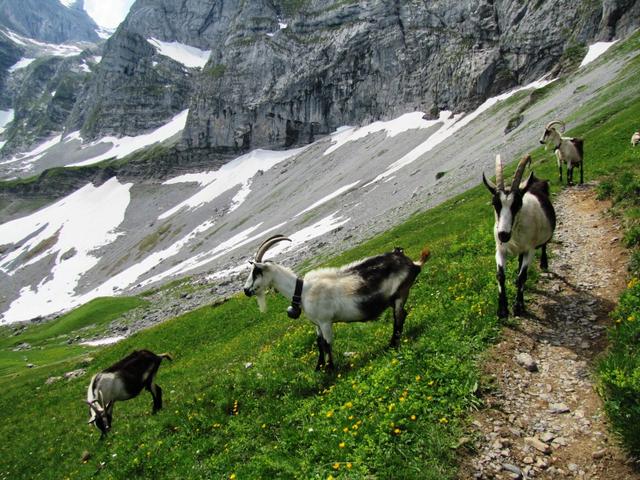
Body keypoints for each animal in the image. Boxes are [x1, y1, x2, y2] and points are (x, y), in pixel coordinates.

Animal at [244, 236, 430, 372]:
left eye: (256, 271)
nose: (246, 290)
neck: (302, 291)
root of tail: (412, 263)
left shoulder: (326, 321)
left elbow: (327, 343)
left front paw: (331, 369)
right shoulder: (317, 324)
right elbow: (319, 343)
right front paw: (318, 367)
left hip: (400, 294)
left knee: (398, 317)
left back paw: (392, 344)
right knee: (402, 315)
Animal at [480, 154, 556, 318]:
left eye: (517, 204)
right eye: (495, 203)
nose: (503, 234)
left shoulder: (529, 249)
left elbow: (523, 276)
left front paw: (518, 307)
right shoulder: (500, 250)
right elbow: (500, 275)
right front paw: (502, 310)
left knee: (544, 245)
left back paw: (544, 263)